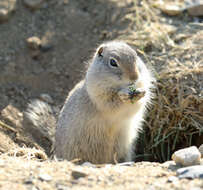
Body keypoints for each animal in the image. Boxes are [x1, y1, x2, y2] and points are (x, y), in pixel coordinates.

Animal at [24, 40, 154, 164]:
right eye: (113, 62)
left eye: (136, 57)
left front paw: (140, 92)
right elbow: (111, 103)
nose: (134, 77)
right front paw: (124, 95)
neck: (118, 86)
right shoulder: (98, 95)